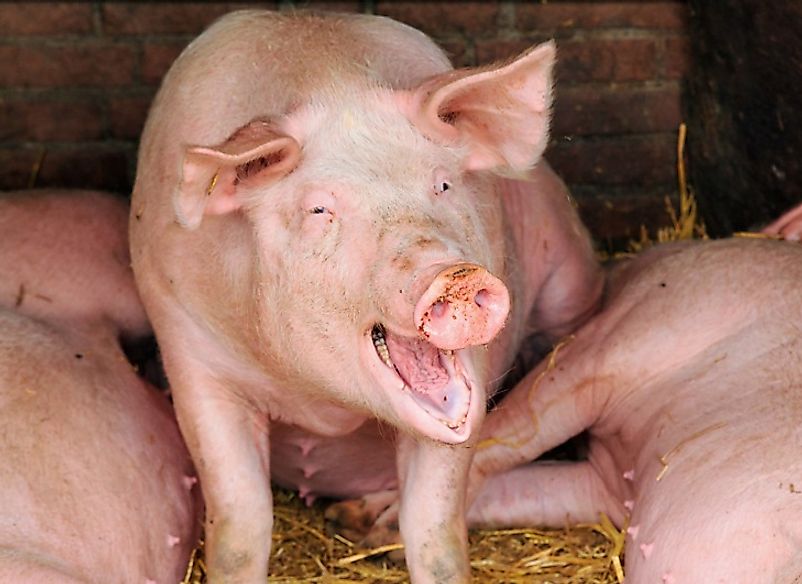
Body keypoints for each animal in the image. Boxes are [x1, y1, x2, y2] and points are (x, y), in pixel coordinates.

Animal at [128, 10, 596, 584]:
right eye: (319, 210)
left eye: (443, 185)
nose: (456, 274)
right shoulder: (189, 349)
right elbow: (241, 523)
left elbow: (435, 528)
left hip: (572, 282)